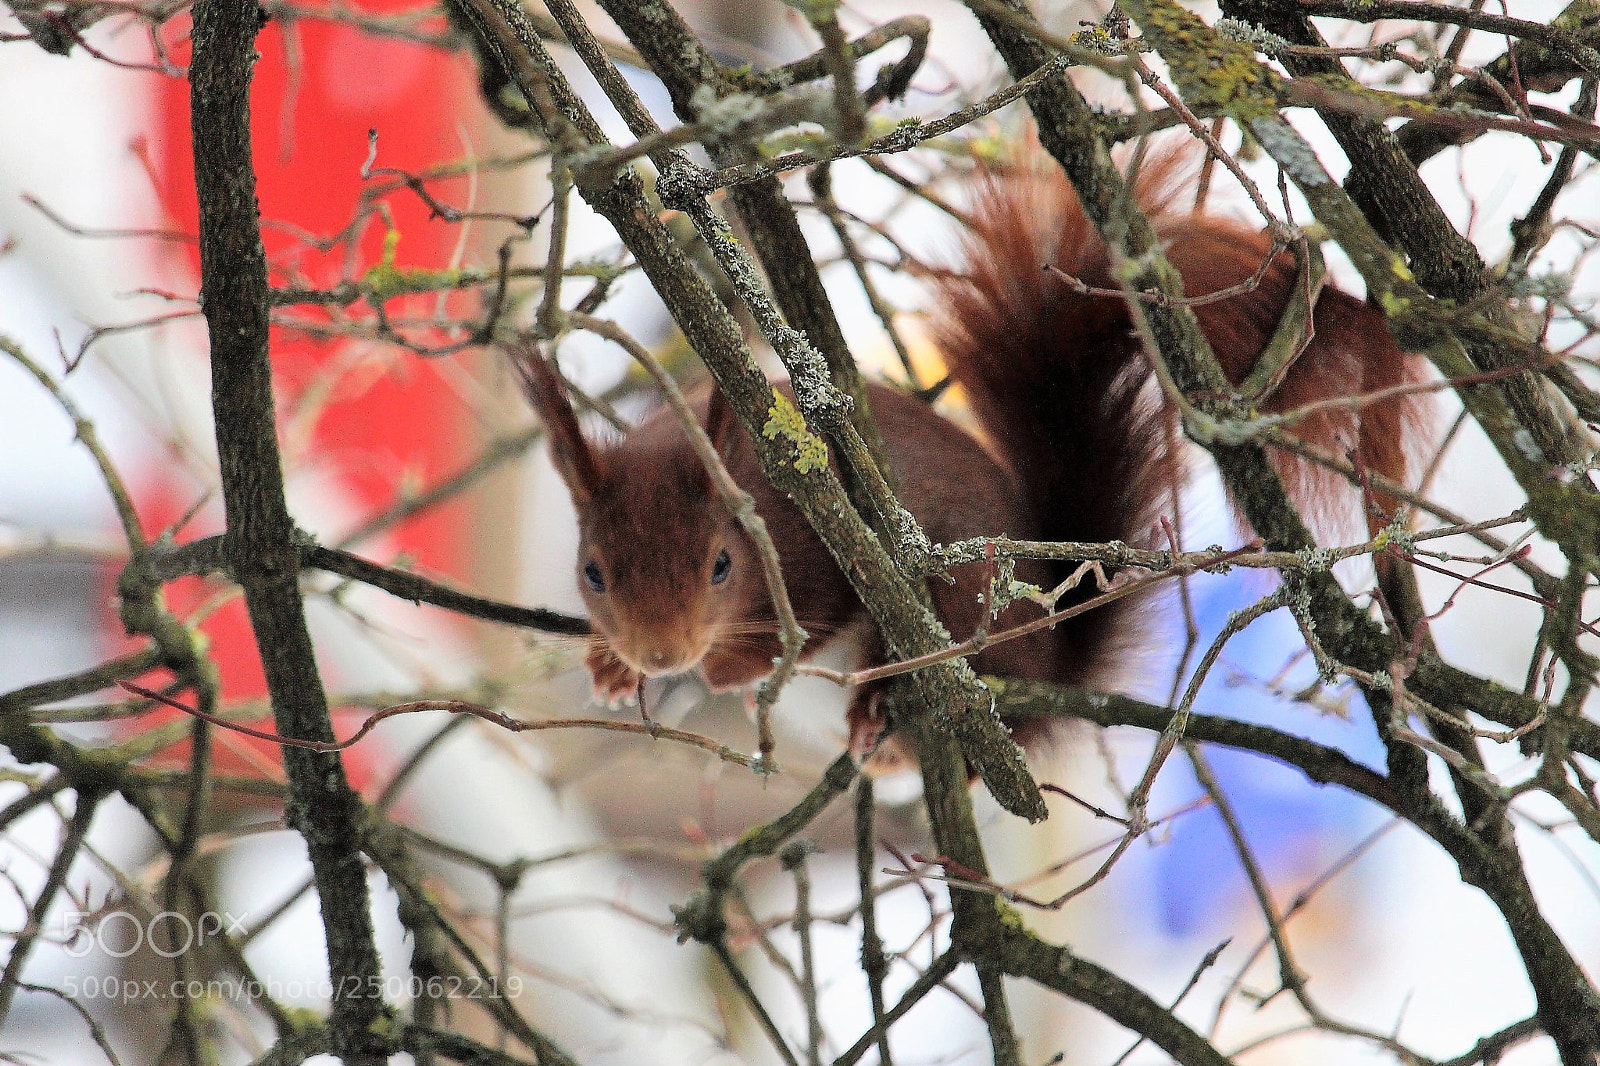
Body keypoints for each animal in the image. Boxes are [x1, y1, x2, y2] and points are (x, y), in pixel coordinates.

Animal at [516, 145, 1429, 768]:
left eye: (720, 566)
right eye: (592, 572)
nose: (661, 655)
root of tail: (1045, 660)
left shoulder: (818, 560)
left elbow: (803, 629)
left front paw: (721, 671)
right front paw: (607, 665)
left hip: (964, 613)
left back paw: (878, 716)